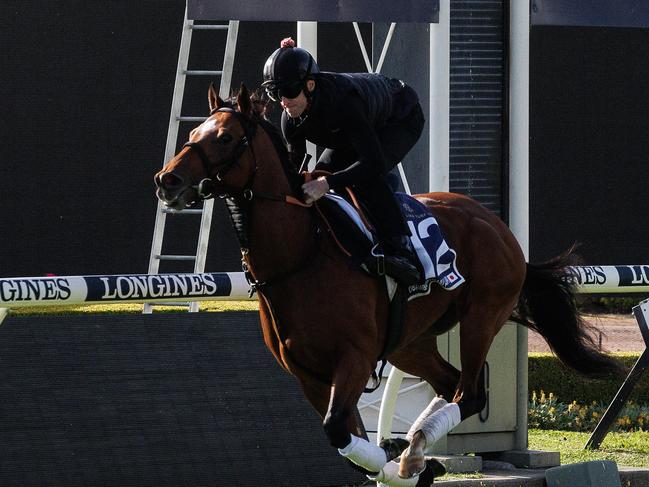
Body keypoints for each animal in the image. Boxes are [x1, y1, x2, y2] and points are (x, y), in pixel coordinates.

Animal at [153, 86, 624, 486]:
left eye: (226, 137)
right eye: (192, 132)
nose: (167, 181)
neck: (301, 255)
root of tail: (500, 228)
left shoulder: (355, 357)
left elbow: (338, 432)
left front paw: (395, 459)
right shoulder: (306, 373)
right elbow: (344, 439)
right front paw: (399, 463)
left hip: (481, 318)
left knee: (470, 392)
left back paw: (413, 450)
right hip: (408, 343)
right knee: (449, 382)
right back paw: (414, 451)